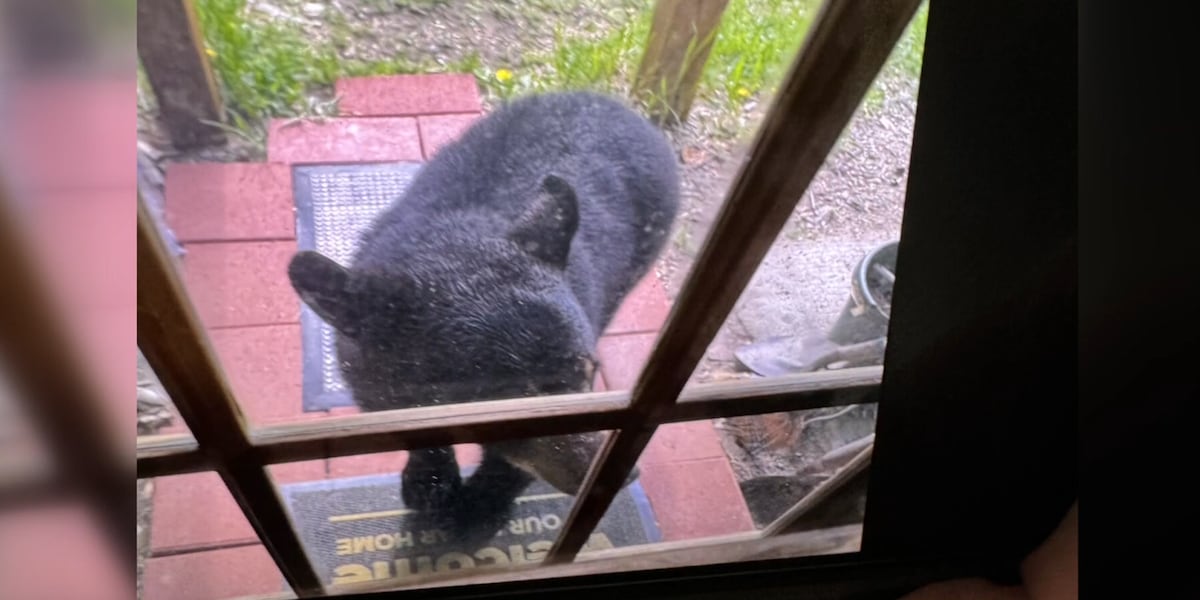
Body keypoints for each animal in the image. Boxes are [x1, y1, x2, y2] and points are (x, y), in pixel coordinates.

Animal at [286, 90, 680, 543]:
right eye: (501, 400)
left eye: (589, 371)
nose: (617, 474)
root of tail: (615, 103)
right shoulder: (368, 380)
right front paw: (428, 479)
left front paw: (479, 504)